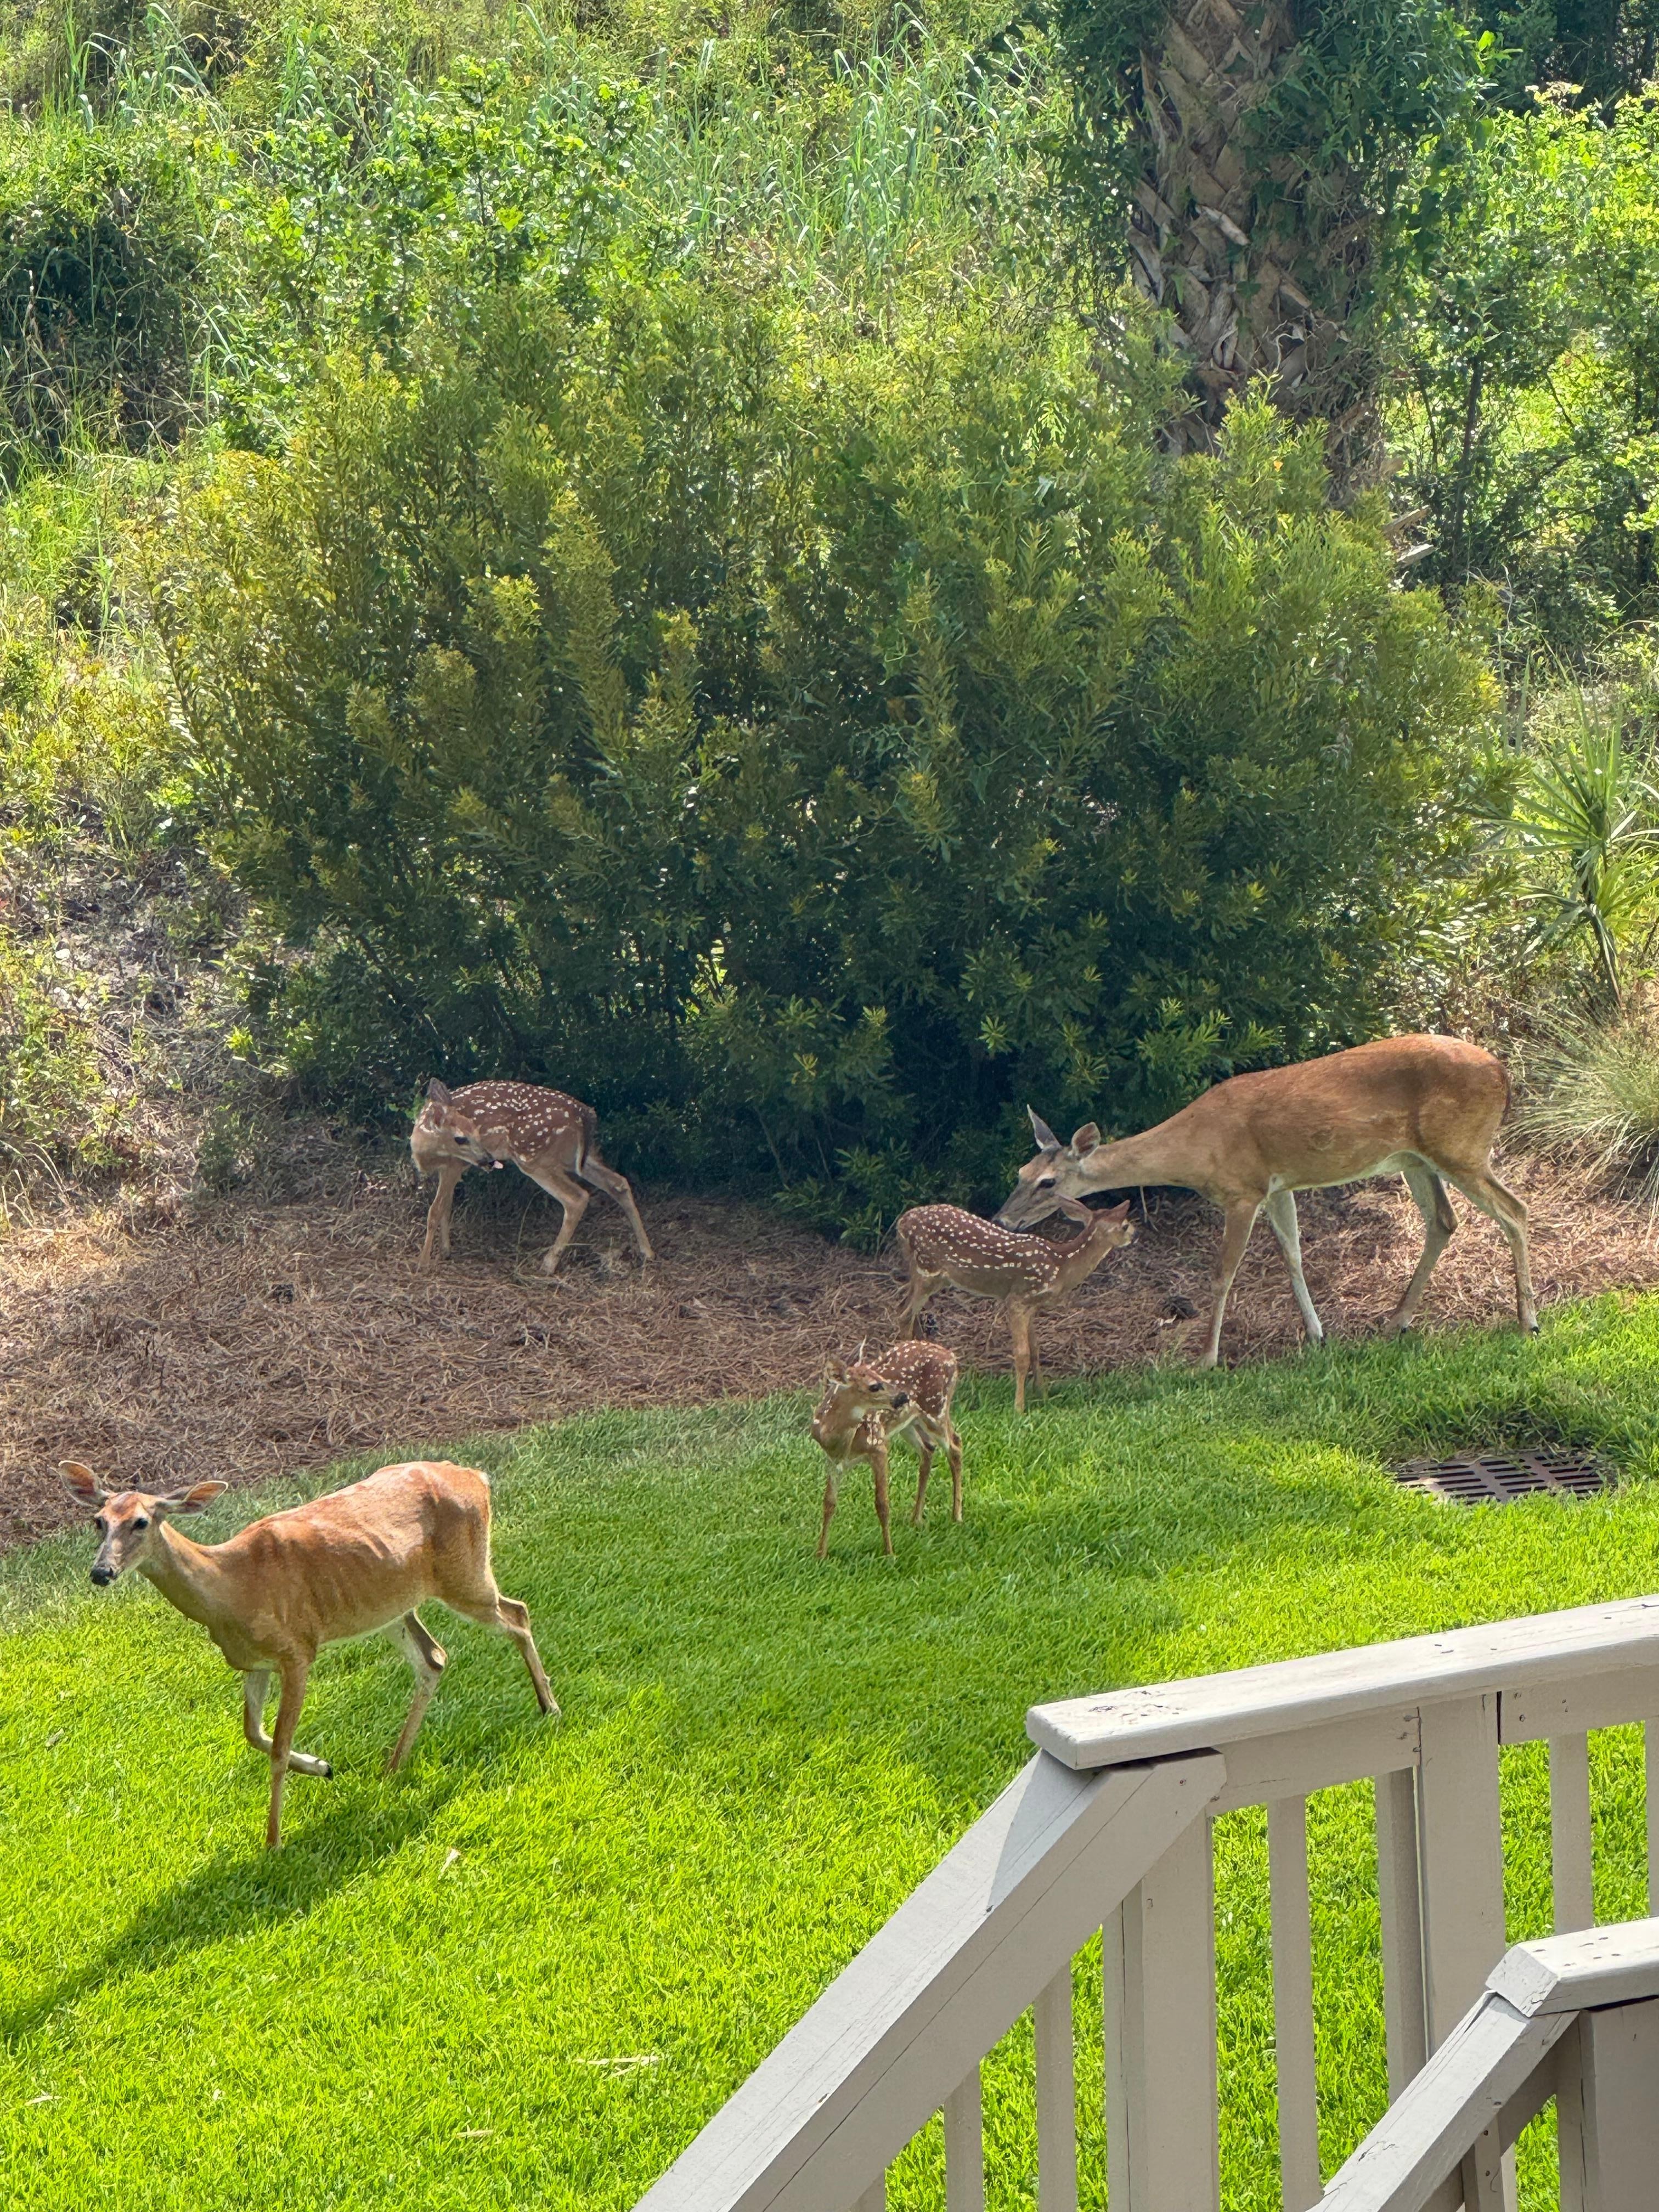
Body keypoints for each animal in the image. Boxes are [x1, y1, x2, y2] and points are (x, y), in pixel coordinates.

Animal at [59, 1458, 558, 1849]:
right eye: (98, 1521)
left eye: (142, 1522)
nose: (101, 1573)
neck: (234, 1590)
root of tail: (477, 1477)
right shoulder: (251, 1662)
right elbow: (252, 1734)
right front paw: (323, 1766)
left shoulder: (298, 1651)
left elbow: (278, 1746)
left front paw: (274, 1840)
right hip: (392, 1607)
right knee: (435, 1657)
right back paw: (393, 1767)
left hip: (465, 1574)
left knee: (518, 1613)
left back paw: (548, 1707)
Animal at [411, 1078, 653, 1277]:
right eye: (461, 1137)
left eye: (477, 1131)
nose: (489, 1160)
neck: (425, 1151)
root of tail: (586, 1114)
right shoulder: (451, 1170)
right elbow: (447, 1207)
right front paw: (445, 1251)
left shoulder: (454, 1165)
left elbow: (435, 1210)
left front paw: (423, 1263)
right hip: (577, 1159)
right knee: (618, 1183)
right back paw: (647, 1252)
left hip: (534, 1157)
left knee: (578, 1198)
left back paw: (548, 1264)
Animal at [810, 1341, 964, 1559]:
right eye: (874, 1386)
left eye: (881, 1377)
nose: (903, 1396)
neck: (841, 1442)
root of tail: (951, 1357)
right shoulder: (832, 1460)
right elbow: (829, 1503)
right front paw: (821, 1553)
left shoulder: (879, 1447)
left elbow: (882, 1503)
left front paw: (889, 1553)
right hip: (909, 1422)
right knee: (928, 1449)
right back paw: (916, 1519)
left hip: (936, 1409)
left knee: (955, 1446)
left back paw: (957, 1516)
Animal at [895, 1198, 1136, 1412]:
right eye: (1125, 1225)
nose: (1135, 1235)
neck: (1061, 1265)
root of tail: (903, 1222)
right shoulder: (1017, 1298)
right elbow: (1022, 1355)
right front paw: (1019, 1407)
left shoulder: (1033, 1305)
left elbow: (1036, 1350)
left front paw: (1043, 1393)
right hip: (929, 1270)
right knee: (905, 1316)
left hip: (923, 1273)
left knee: (904, 1309)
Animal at [996, 1033, 1536, 1370]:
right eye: (1020, 1174)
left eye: (1048, 1183)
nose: (1004, 1218)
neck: (1195, 1150)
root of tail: (1504, 1074)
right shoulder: (1280, 1187)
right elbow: (1293, 1255)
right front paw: (1318, 1336)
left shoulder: (1244, 1190)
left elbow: (1222, 1274)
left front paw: (1205, 1359)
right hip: (1415, 1158)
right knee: (1443, 1221)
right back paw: (1396, 1322)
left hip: (1460, 1147)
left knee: (1516, 1210)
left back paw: (1527, 1320)